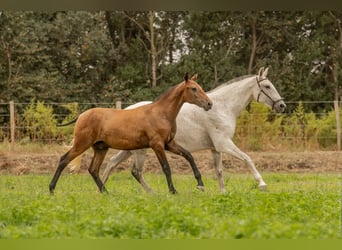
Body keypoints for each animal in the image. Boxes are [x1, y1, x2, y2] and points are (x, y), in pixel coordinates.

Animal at [101, 67, 286, 192]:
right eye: (267, 86)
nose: (282, 106)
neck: (222, 108)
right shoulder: (224, 144)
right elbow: (247, 159)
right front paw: (262, 184)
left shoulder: (215, 149)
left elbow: (219, 171)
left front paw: (223, 192)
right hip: (140, 151)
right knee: (135, 171)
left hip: (131, 149)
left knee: (113, 164)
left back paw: (102, 189)